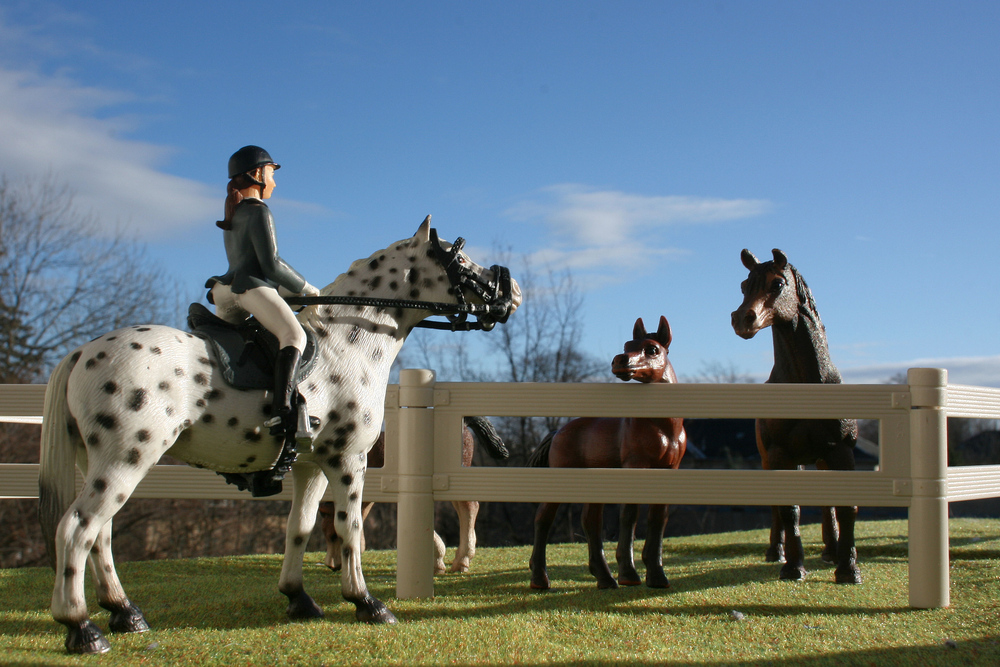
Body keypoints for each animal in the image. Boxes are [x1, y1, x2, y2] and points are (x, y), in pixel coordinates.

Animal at [320, 418, 508, 576]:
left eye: (332, 535)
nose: (332, 565)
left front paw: (438, 562)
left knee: (469, 507)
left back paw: (461, 561)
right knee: (468, 507)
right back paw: (462, 560)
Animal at [528, 318, 684, 588]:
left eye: (652, 349)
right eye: (627, 345)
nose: (620, 361)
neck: (662, 427)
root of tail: (558, 432)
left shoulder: (668, 471)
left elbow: (658, 518)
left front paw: (656, 575)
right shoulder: (635, 467)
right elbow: (630, 514)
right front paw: (629, 573)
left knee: (590, 521)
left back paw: (604, 577)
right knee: (543, 518)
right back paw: (540, 579)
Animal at [732, 249, 864, 584]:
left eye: (778, 283)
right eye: (744, 286)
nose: (742, 319)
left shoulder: (841, 453)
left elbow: (846, 508)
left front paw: (849, 568)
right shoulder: (781, 455)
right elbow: (789, 509)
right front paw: (793, 567)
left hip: (820, 459)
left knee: (828, 506)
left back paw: (831, 551)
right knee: (778, 509)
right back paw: (776, 551)